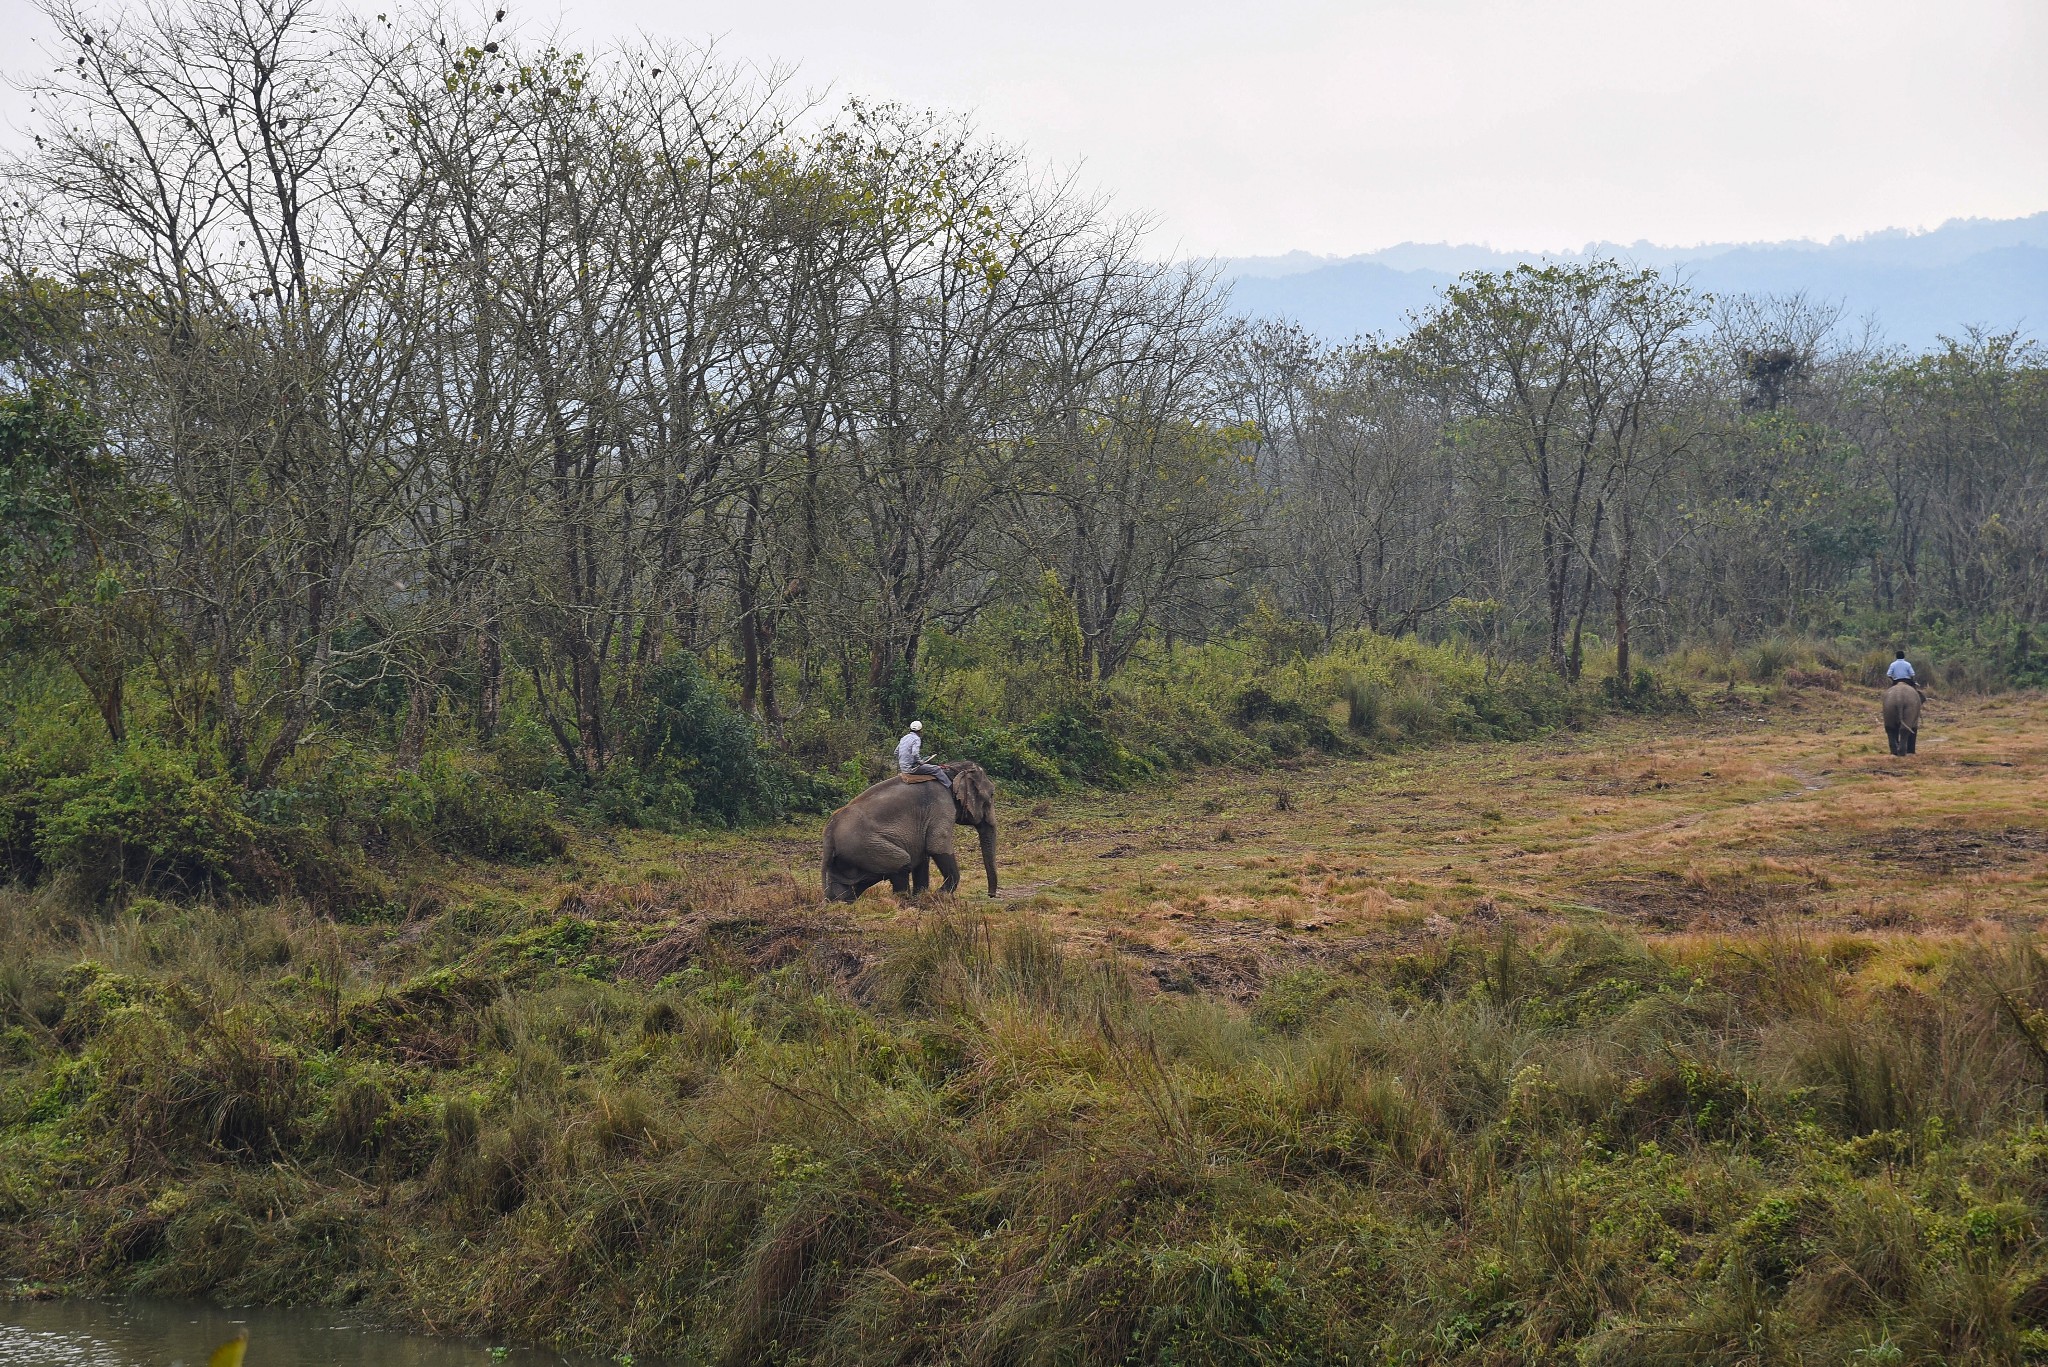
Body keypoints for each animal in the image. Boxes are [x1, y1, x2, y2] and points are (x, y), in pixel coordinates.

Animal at [823, 766, 999, 901]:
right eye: (992, 795)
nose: (990, 895)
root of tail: (829, 832)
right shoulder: (941, 807)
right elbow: (937, 846)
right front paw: (938, 895)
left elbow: (923, 855)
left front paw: (922, 896)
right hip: (865, 846)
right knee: (901, 862)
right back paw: (903, 899)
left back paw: (841, 901)